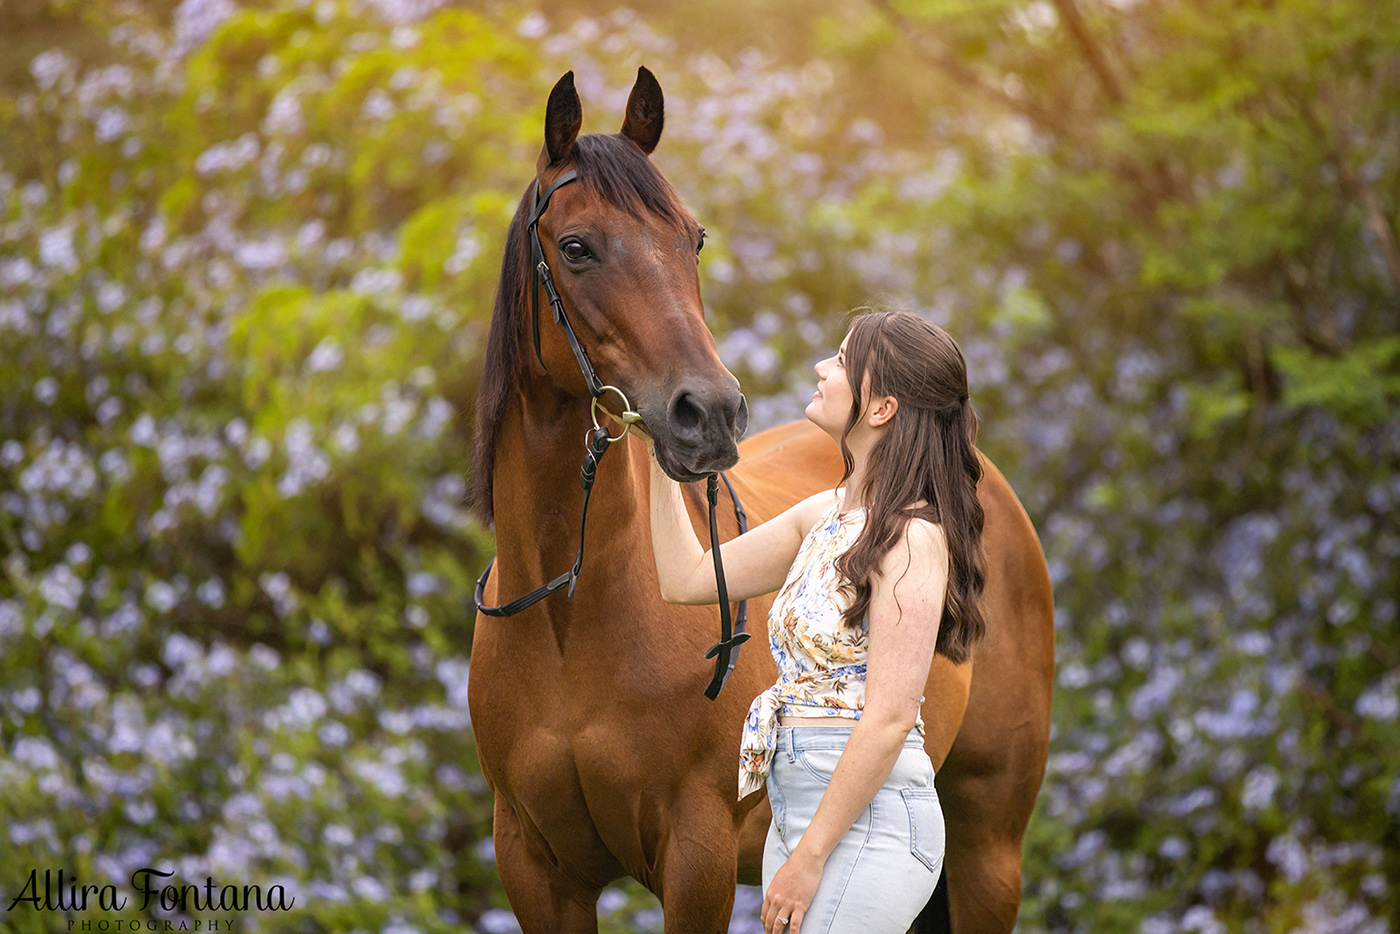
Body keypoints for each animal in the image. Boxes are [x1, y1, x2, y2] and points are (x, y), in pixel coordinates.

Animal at [464, 67, 1052, 934]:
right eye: (576, 248)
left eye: (692, 238)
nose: (707, 412)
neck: (570, 617)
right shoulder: (537, 869)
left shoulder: (697, 859)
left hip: (987, 850)